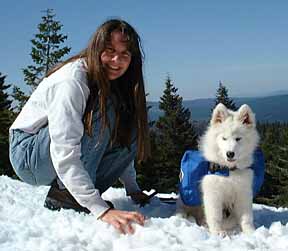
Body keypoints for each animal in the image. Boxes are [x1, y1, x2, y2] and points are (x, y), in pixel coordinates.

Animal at [177, 102, 260, 235]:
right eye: (224, 138)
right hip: (184, 199)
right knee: (183, 209)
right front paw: (218, 232)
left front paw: (251, 232)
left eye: (238, 138)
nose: (230, 154)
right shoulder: (212, 193)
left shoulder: (243, 192)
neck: (228, 170)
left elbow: (246, 216)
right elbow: (214, 215)